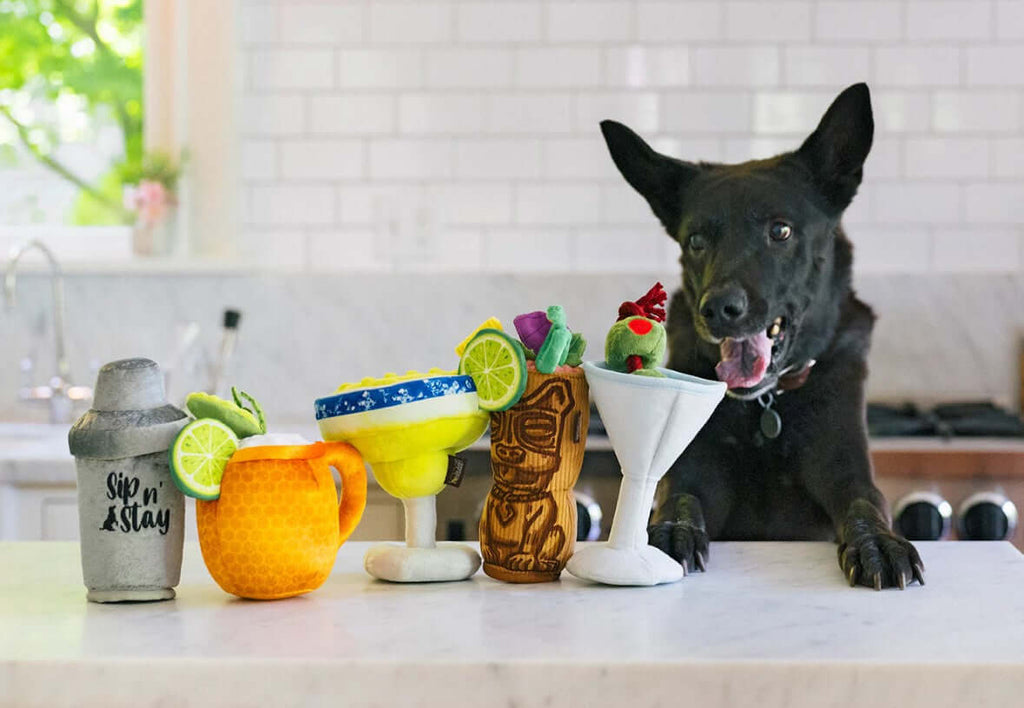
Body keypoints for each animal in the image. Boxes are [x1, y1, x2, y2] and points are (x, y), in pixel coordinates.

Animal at [602, 84, 925, 594]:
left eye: (781, 230)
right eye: (696, 241)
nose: (718, 309)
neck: (766, 410)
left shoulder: (847, 468)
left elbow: (864, 503)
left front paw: (879, 544)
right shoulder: (692, 470)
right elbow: (680, 499)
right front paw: (669, 533)